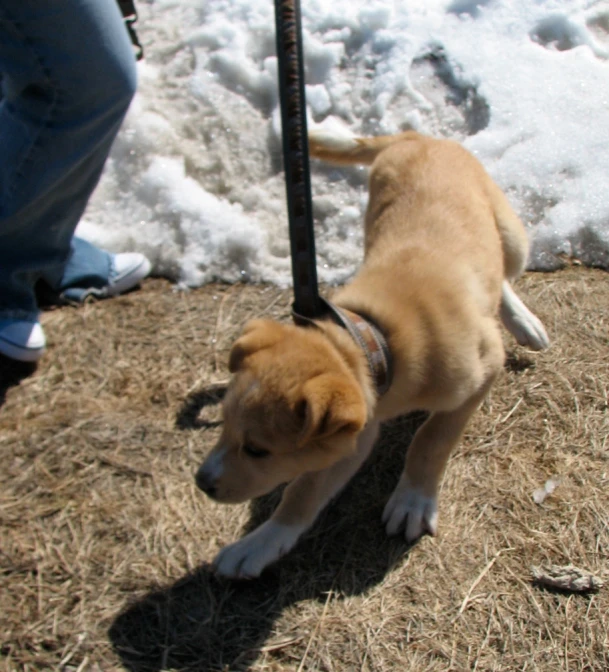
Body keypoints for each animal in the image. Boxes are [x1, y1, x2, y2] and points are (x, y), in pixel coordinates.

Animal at [197, 130, 548, 576]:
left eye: (258, 449)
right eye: (223, 423)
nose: (201, 482)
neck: (376, 340)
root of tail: (416, 136)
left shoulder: (483, 372)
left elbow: (431, 438)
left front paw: (413, 500)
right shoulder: (354, 434)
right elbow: (302, 491)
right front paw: (260, 544)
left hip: (512, 234)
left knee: (503, 270)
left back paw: (523, 321)